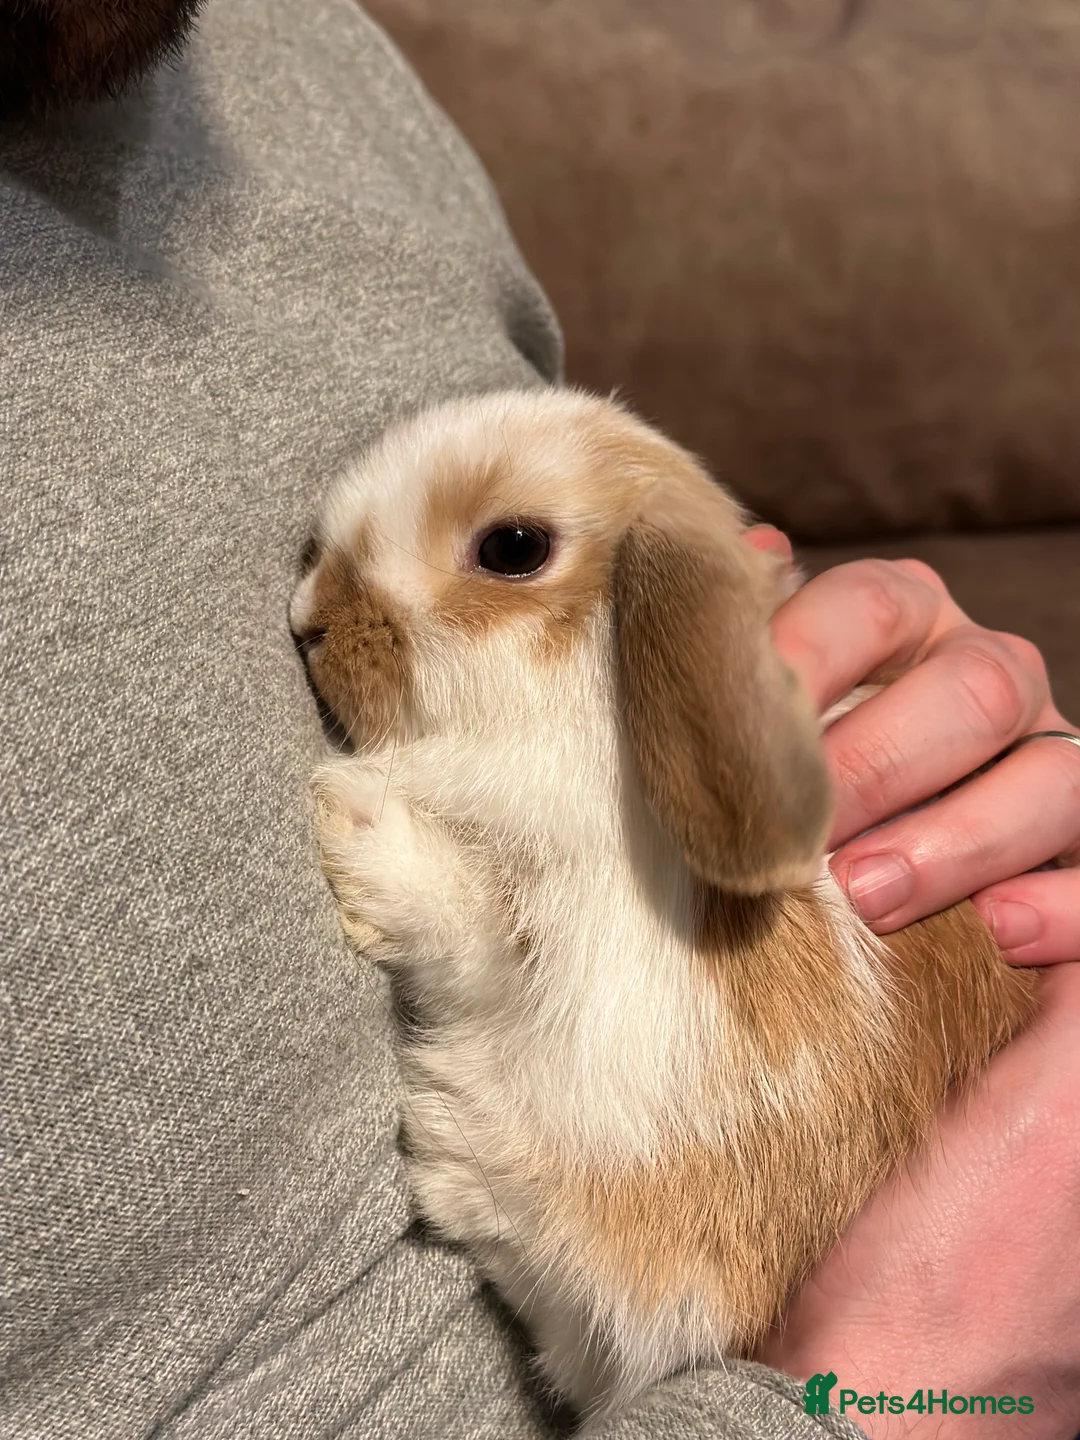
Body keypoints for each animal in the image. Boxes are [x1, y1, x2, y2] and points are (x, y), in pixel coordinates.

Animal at [289, 386, 1038, 1421]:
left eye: (512, 548)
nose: (307, 619)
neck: (574, 702)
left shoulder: (574, 955)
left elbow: (456, 919)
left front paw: (350, 812)